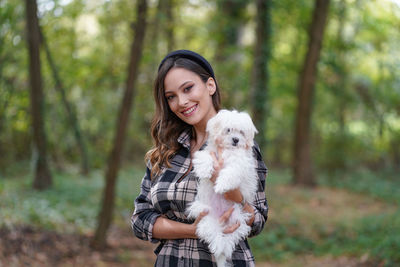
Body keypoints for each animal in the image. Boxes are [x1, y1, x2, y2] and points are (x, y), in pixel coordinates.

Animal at [188, 109, 260, 267]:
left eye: (241, 132)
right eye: (228, 130)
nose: (236, 140)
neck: (228, 150)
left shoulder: (240, 163)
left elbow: (231, 171)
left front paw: (221, 185)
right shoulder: (209, 152)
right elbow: (205, 158)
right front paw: (204, 171)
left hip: (236, 218)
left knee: (228, 238)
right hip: (207, 214)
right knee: (212, 232)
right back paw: (217, 245)